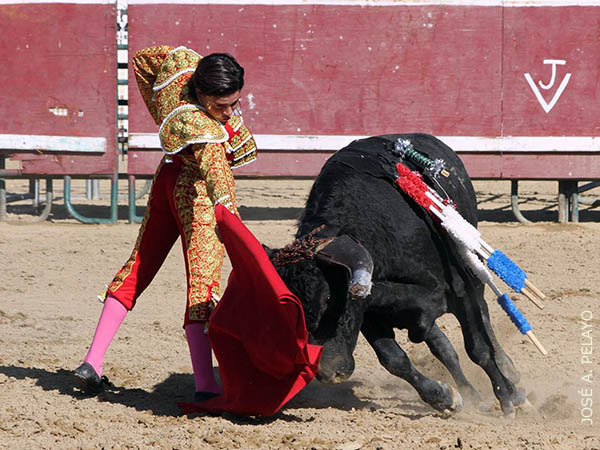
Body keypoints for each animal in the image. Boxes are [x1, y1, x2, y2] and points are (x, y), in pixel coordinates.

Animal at [266, 134, 527, 417]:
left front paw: (508, 397)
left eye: (327, 299)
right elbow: (395, 359)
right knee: (444, 349)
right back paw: (472, 396)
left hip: (472, 275)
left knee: (483, 319)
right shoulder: (369, 313)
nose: (329, 373)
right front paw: (445, 398)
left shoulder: (460, 292)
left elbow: (478, 348)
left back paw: (510, 375)